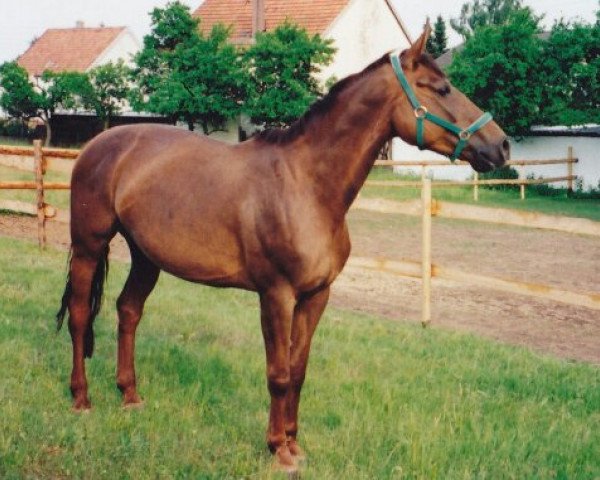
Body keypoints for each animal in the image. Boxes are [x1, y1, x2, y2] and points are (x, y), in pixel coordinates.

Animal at [56, 27, 506, 472]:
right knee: (79, 315)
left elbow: (298, 370)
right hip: (89, 246)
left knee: (128, 311)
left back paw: (130, 396)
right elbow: (278, 373)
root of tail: (98, 144)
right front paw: (278, 449)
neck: (306, 185)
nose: (501, 145)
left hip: (146, 256)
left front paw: (294, 443)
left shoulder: (315, 296)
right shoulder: (277, 295)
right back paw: (81, 398)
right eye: (442, 88)